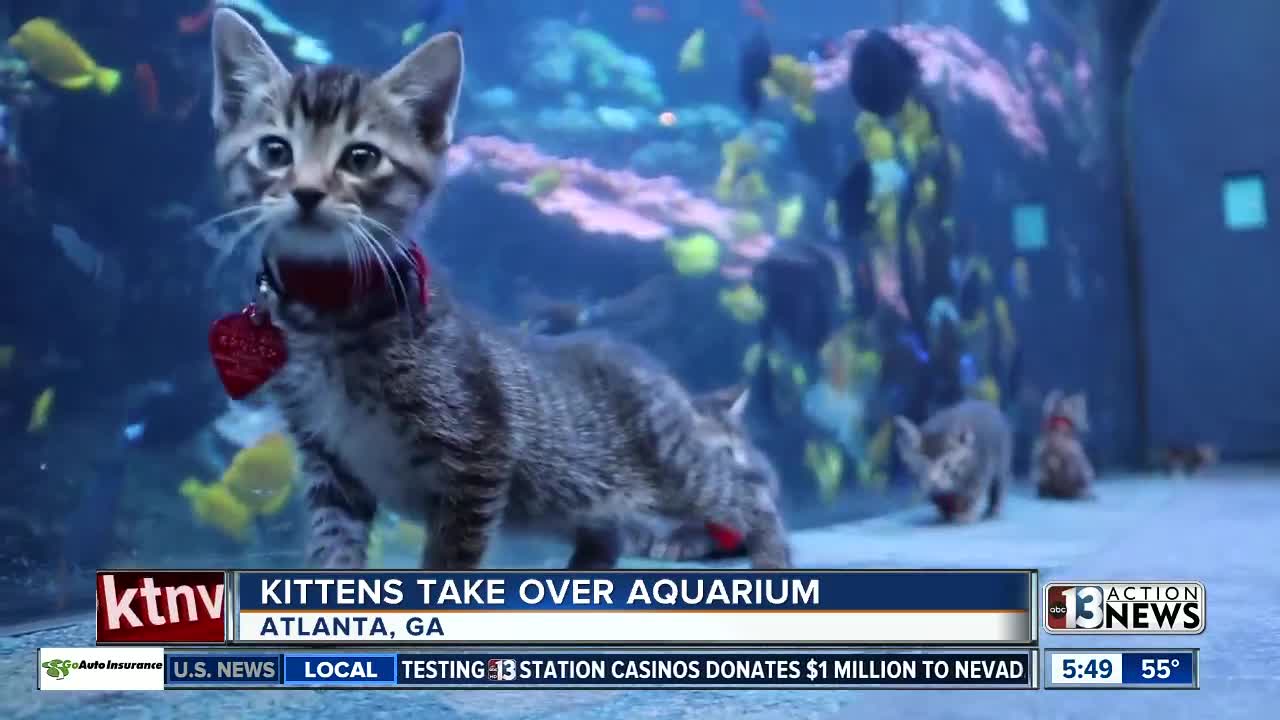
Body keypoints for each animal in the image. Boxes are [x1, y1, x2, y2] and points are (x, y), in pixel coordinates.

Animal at [207, 11, 788, 568]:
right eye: (275, 150)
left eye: (361, 158)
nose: (306, 192)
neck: (327, 313)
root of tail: (665, 380)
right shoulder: (329, 464)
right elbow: (333, 550)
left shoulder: (477, 456)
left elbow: (448, 563)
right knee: (611, 535)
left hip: (676, 467)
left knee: (748, 500)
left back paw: (770, 557)